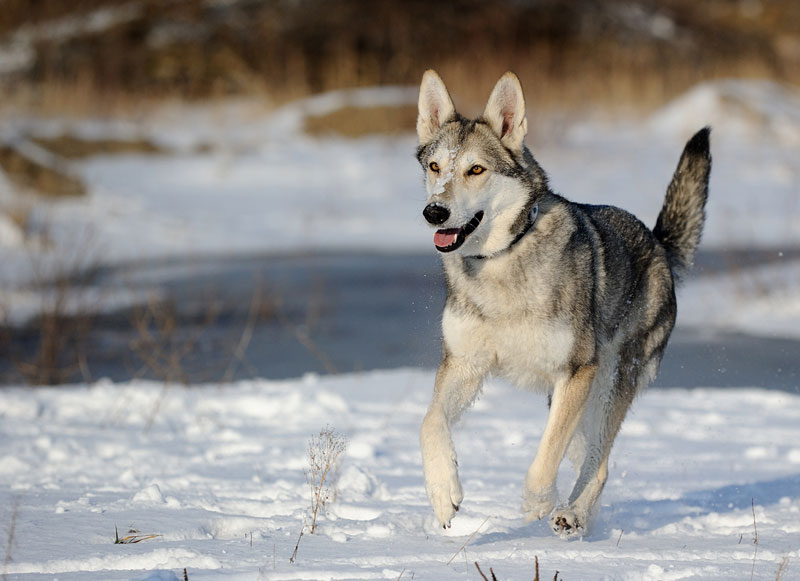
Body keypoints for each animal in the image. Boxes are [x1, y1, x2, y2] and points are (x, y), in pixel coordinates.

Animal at [416, 70, 708, 536]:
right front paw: (445, 495)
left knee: (599, 464)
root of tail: (659, 243)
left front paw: (537, 505)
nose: (434, 213)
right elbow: (430, 425)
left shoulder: (575, 371)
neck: (503, 260)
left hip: (604, 386)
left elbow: (542, 463)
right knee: (590, 460)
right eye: (435, 167)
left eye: (476, 169)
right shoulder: (465, 365)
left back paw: (571, 515)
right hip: (572, 402)